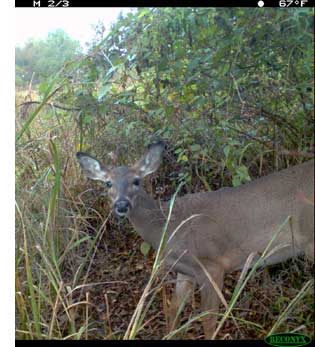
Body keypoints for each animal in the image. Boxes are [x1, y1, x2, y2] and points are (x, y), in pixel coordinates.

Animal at [76, 143, 314, 340]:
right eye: (108, 183)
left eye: (136, 180)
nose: (122, 205)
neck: (168, 226)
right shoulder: (184, 271)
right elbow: (173, 312)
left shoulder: (212, 266)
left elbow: (208, 321)